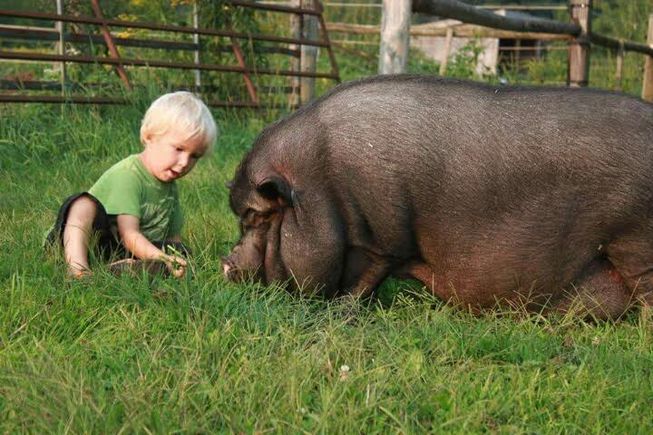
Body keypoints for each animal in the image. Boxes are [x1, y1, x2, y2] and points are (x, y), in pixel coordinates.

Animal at [223, 75, 652, 318]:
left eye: (256, 217)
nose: (225, 263)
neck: (319, 185)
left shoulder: (384, 239)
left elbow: (366, 278)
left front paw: (342, 311)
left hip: (635, 241)